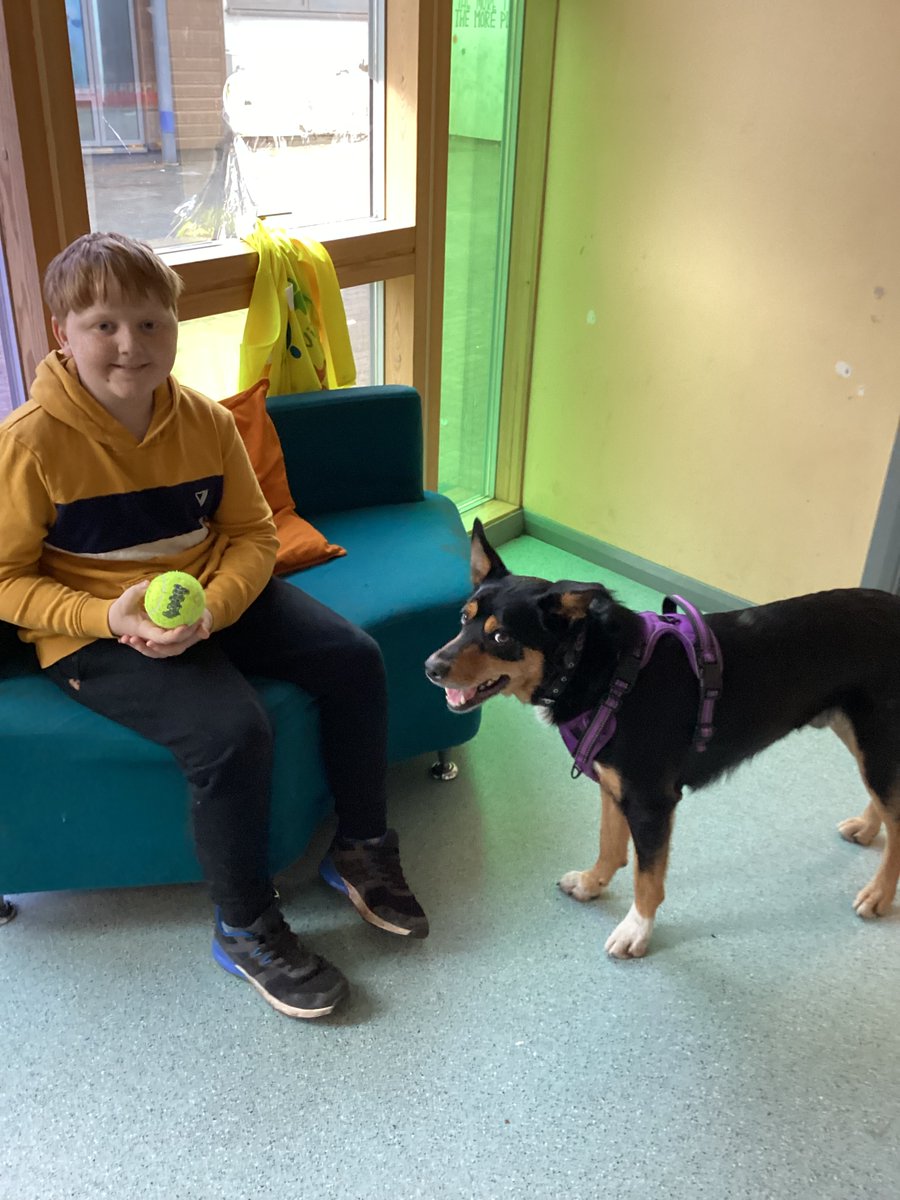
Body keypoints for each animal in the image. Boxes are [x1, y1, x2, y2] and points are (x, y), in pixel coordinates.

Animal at [427, 520, 900, 960]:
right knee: (885, 804)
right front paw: (591, 884)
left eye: (501, 636)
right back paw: (865, 828)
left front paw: (637, 930)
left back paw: (879, 894)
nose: (431, 667)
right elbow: (610, 845)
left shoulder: (651, 800)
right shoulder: (613, 783)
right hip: (859, 735)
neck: (600, 668)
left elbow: (647, 877)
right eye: (464, 619)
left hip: (878, 740)